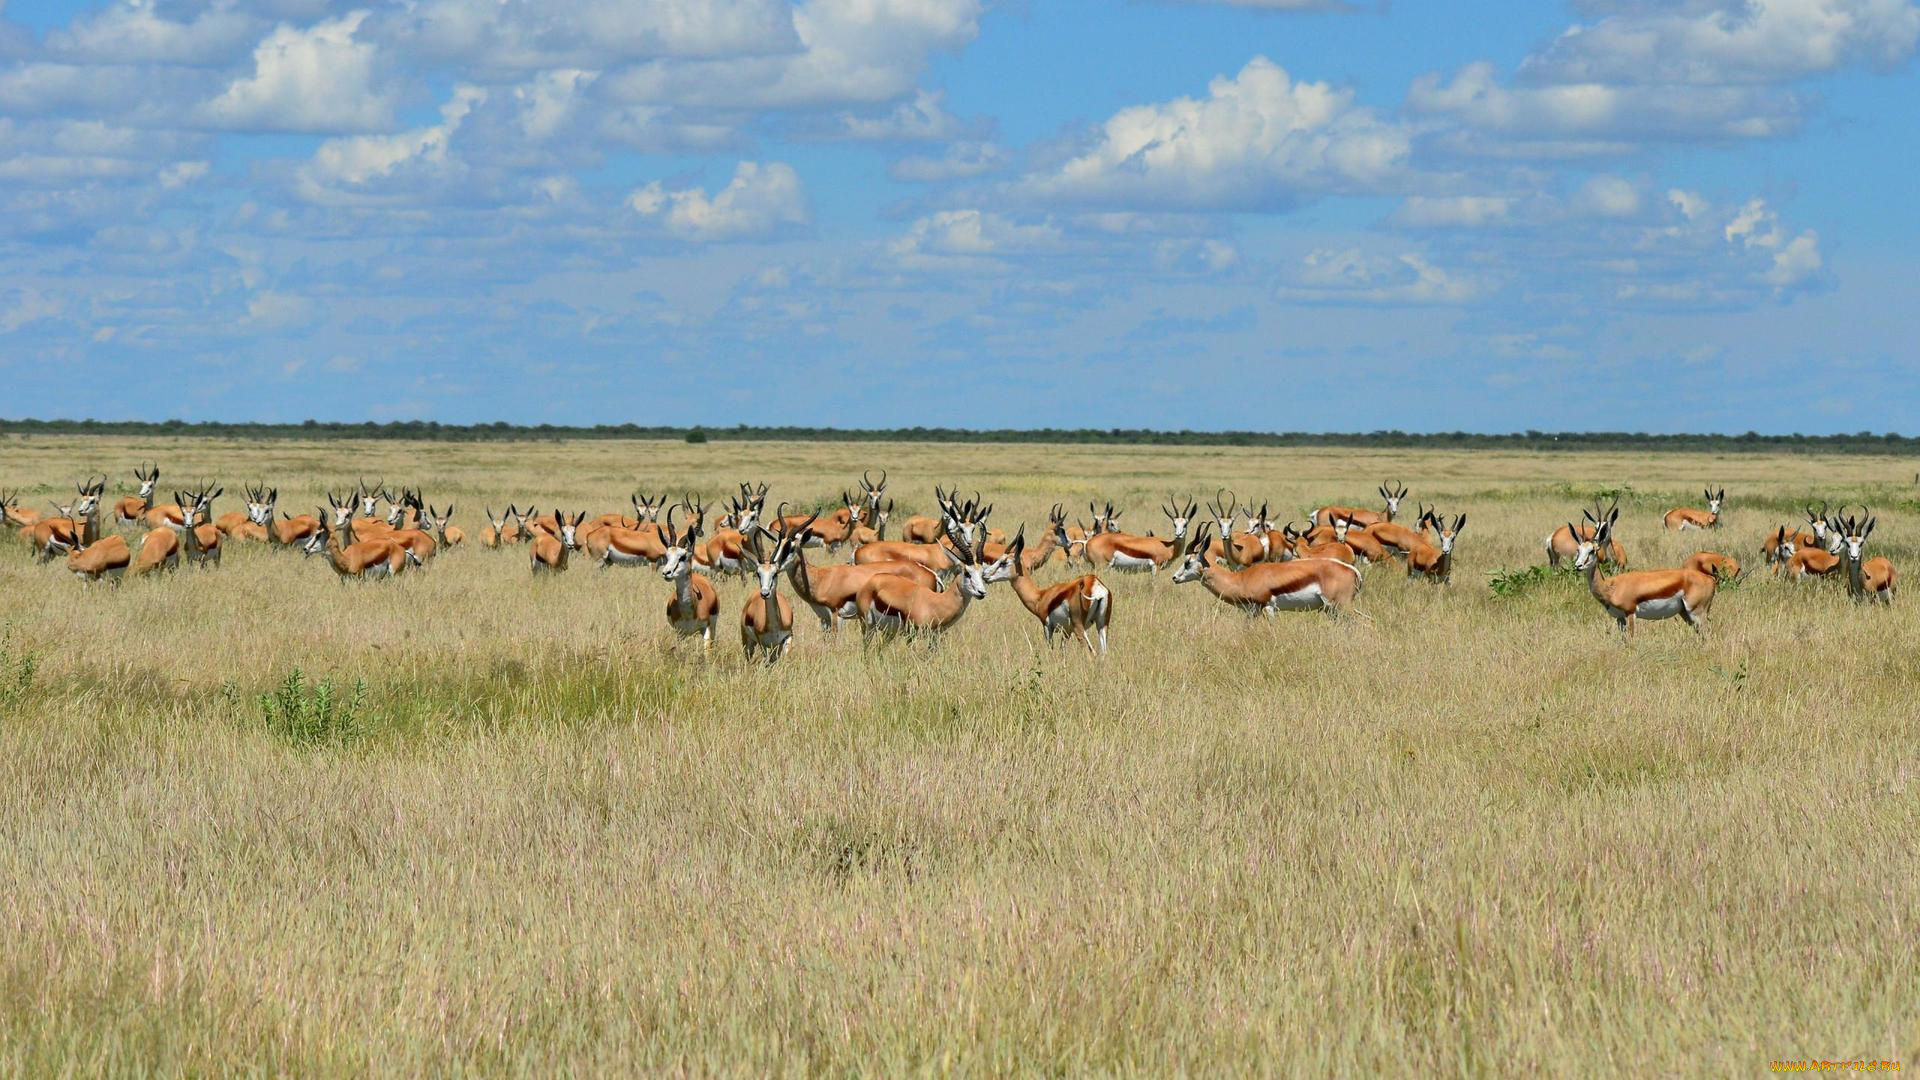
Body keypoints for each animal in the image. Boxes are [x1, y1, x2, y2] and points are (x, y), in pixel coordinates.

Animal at [733, 526, 794, 661]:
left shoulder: (787, 637)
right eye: (758, 573)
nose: (765, 593)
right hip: (748, 642)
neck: (774, 626)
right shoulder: (763, 643)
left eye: (775, 573)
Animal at [1167, 522, 1367, 614]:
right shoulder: (1251, 612)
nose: (1174, 578)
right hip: (1331, 610)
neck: (1241, 579)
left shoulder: (1268, 609)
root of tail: (1352, 570)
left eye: (1187, 562)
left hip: (1340, 607)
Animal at [1566, 515, 1720, 634]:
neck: (1610, 587)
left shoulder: (1630, 613)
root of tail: (1710, 578)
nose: (1578, 566)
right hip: (1685, 614)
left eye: (1592, 550)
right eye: (1578, 550)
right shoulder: (1619, 618)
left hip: (1696, 612)